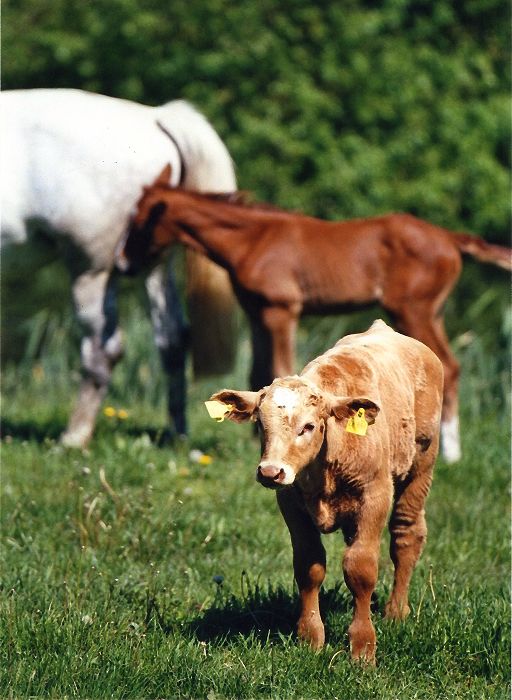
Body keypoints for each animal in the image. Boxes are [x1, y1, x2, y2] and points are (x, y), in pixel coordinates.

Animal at [1, 89, 237, 448]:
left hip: (92, 269)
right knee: (172, 339)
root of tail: (154, 117)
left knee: (103, 350)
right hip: (151, 263)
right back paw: (177, 435)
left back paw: (73, 439)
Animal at [117, 166, 512, 462]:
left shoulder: (281, 311)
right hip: (430, 313)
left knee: (449, 366)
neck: (253, 240)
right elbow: (258, 372)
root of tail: (450, 238)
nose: (122, 264)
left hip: (415, 311)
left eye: (142, 221)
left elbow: (280, 368)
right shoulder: (257, 313)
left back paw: (451, 454)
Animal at [210, 320, 442, 664]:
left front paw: (362, 648)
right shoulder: (291, 503)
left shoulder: (375, 497)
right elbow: (310, 566)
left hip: (420, 471)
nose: (270, 471)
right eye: (262, 425)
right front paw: (310, 637)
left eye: (307, 426)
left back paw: (396, 612)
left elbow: (360, 568)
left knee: (406, 536)